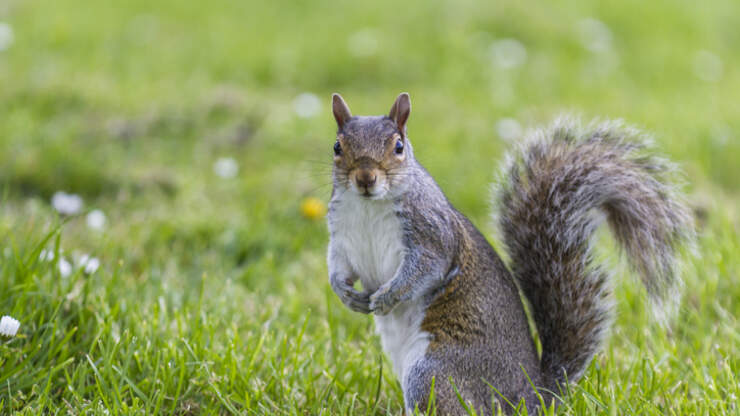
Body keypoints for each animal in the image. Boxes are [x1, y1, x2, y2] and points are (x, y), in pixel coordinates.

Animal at [324, 92, 692, 414]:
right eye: (337, 146)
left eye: (398, 146)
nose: (366, 178)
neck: (368, 207)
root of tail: (533, 396)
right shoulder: (341, 238)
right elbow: (338, 268)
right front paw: (347, 295)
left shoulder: (433, 233)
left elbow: (425, 268)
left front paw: (388, 296)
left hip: (434, 371)